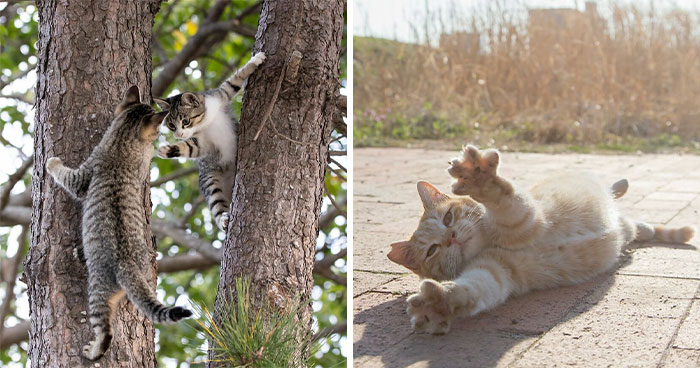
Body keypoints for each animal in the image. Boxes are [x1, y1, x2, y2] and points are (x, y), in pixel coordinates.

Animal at [46, 85, 191, 360]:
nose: (161, 135)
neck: (123, 141)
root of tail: (128, 265)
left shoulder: (83, 176)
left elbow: (66, 176)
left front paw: (52, 163)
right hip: (145, 274)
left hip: (97, 291)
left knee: (105, 331)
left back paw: (93, 350)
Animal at [155, 52, 266, 230]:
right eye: (171, 125)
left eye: (185, 121)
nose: (179, 134)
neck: (206, 121)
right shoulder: (202, 142)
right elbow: (189, 147)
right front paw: (168, 150)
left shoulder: (220, 95)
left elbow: (234, 80)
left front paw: (255, 60)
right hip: (209, 179)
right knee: (217, 203)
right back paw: (224, 219)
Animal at [388, 145, 696, 334]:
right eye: (431, 251)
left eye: (448, 218)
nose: (451, 238)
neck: (490, 242)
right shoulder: (493, 271)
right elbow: (471, 289)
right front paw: (439, 303)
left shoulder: (526, 216)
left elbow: (501, 196)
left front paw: (479, 178)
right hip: (624, 228)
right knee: (633, 226)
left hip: (619, 215)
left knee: (623, 202)